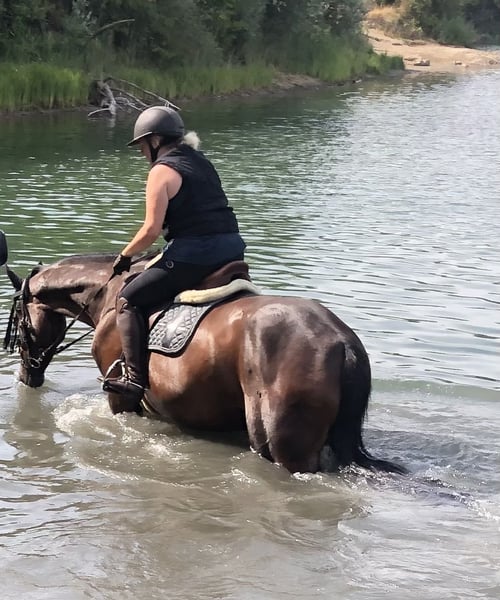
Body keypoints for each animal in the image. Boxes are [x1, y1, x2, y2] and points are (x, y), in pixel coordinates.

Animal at [1, 241, 405, 475]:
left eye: (18, 321)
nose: (25, 376)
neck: (107, 293)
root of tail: (341, 340)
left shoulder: (120, 400)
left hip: (286, 447)